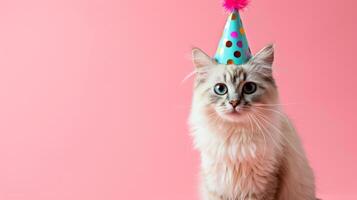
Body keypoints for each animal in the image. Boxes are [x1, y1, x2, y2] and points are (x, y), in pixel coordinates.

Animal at [188, 44, 316, 199]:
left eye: (249, 88)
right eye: (220, 89)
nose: (234, 102)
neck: (235, 139)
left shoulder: (262, 186)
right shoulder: (217, 188)